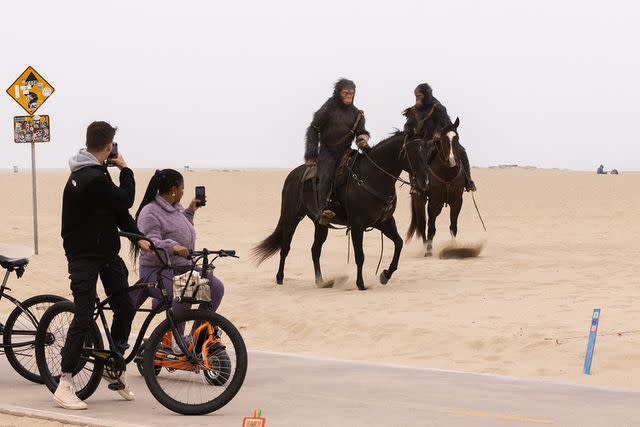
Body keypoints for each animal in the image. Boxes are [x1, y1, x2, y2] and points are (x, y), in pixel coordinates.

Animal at [252, 134, 428, 290]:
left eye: (425, 151)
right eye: (413, 153)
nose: (425, 181)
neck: (371, 177)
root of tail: (292, 175)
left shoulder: (384, 222)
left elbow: (399, 243)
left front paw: (385, 274)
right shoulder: (357, 225)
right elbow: (360, 256)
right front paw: (361, 284)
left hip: (320, 224)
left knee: (315, 250)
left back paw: (322, 282)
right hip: (291, 217)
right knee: (285, 247)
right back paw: (280, 278)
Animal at [410, 117, 464, 256]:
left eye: (457, 138)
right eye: (443, 139)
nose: (452, 161)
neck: (447, 174)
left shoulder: (457, 201)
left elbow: (453, 227)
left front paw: (454, 247)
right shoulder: (434, 202)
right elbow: (431, 227)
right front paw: (429, 251)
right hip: (420, 200)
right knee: (422, 224)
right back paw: (425, 248)